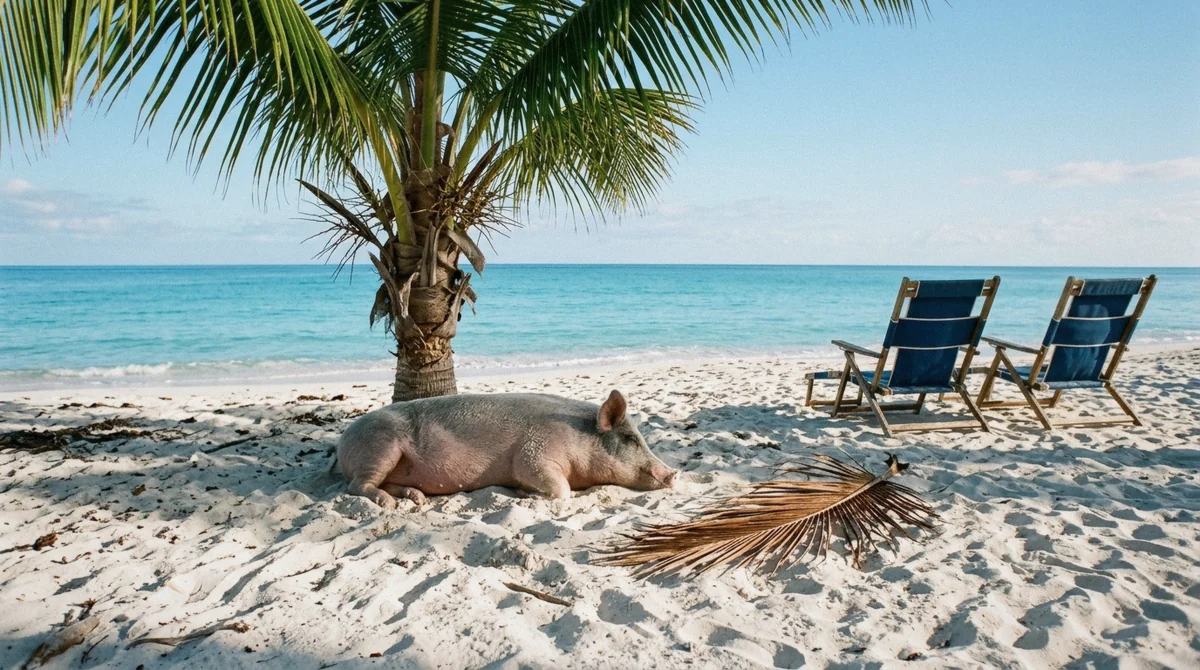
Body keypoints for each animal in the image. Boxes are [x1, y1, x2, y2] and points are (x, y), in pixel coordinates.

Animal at [336, 390, 677, 508]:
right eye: (631, 440)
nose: (674, 474)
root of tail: (343, 439)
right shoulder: (534, 455)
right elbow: (561, 490)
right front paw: (525, 495)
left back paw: (416, 499)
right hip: (381, 447)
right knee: (357, 486)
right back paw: (388, 505)